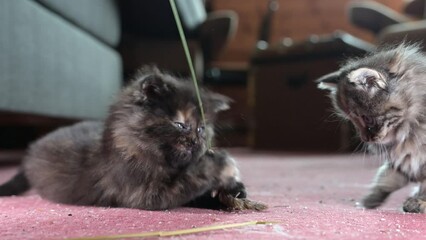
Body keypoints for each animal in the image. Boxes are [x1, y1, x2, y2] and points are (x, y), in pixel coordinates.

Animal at [0, 67, 262, 210]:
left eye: (202, 129)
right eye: (180, 124)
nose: (196, 142)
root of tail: (31, 150)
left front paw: (234, 191)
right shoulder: (143, 194)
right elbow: (187, 184)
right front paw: (221, 167)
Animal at [316, 44, 426, 213]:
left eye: (366, 118)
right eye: (353, 121)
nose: (364, 138)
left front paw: (419, 201)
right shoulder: (403, 161)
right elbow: (387, 179)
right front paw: (370, 200)